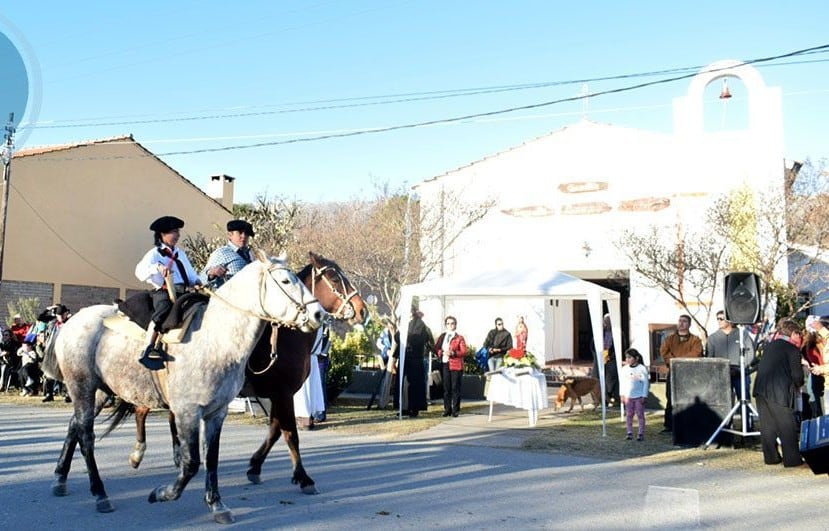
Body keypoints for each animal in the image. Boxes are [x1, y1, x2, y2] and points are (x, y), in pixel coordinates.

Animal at [124, 254, 368, 494]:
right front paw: (304, 477)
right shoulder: (284, 394)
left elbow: (275, 430)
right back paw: (138, 454)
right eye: (334, 279)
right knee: (141, 409)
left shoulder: (276, 396)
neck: (285, 337)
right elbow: (290, 434)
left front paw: (255, 467)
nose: (362, 310)